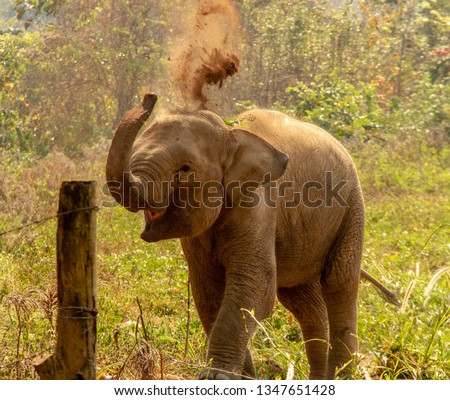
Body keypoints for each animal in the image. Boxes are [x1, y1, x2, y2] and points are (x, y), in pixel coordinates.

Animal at [106, 93, 366, 378]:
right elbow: (207, 291)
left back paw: (342, 375)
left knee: (340, 282)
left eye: (184, 169)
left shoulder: (257, 204)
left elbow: (256, 285)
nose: (149, 97)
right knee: (302, 300)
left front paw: (216, 376)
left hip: (352, 208)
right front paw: (242, 377)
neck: (230, 134)